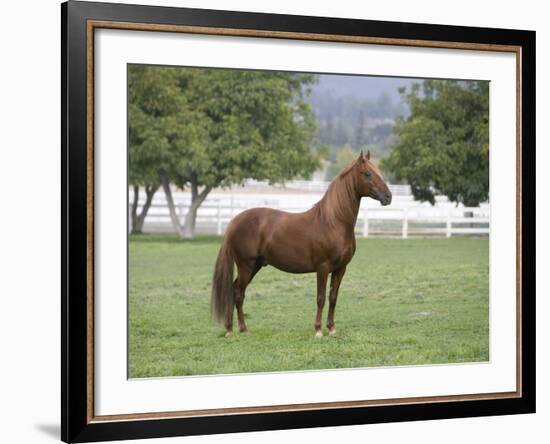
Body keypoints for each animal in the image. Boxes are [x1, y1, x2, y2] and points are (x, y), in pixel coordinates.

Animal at [211, 152, 392, 336]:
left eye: (378, 171)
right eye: (367, 174)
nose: (388, 197)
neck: (333, 222)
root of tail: (234, 221)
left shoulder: (340, 269)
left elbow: (333, 298)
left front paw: (331, 329)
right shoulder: (323, 268)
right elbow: (320, 298)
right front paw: (318, 330)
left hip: (255, 265)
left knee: (237, 291)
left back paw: (238, 328)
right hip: (246, 266)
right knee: (237, 292)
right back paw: (234, 329)